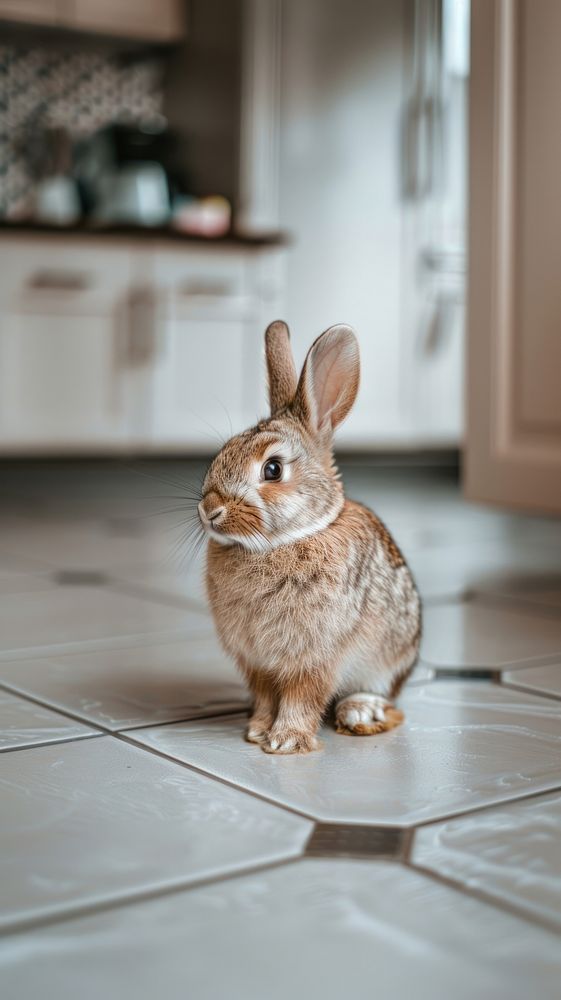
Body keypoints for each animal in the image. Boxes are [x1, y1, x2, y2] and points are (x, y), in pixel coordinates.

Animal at [198, 321, 421, 754]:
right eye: (223, 452)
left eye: (272, 469)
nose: (209, 510)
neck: (282, 543)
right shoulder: (259, 664)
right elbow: (266, 697)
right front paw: (257, 731)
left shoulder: (316, 657)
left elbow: (303, 697)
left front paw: (285, 741)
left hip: (388, 661)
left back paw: (359, 712)